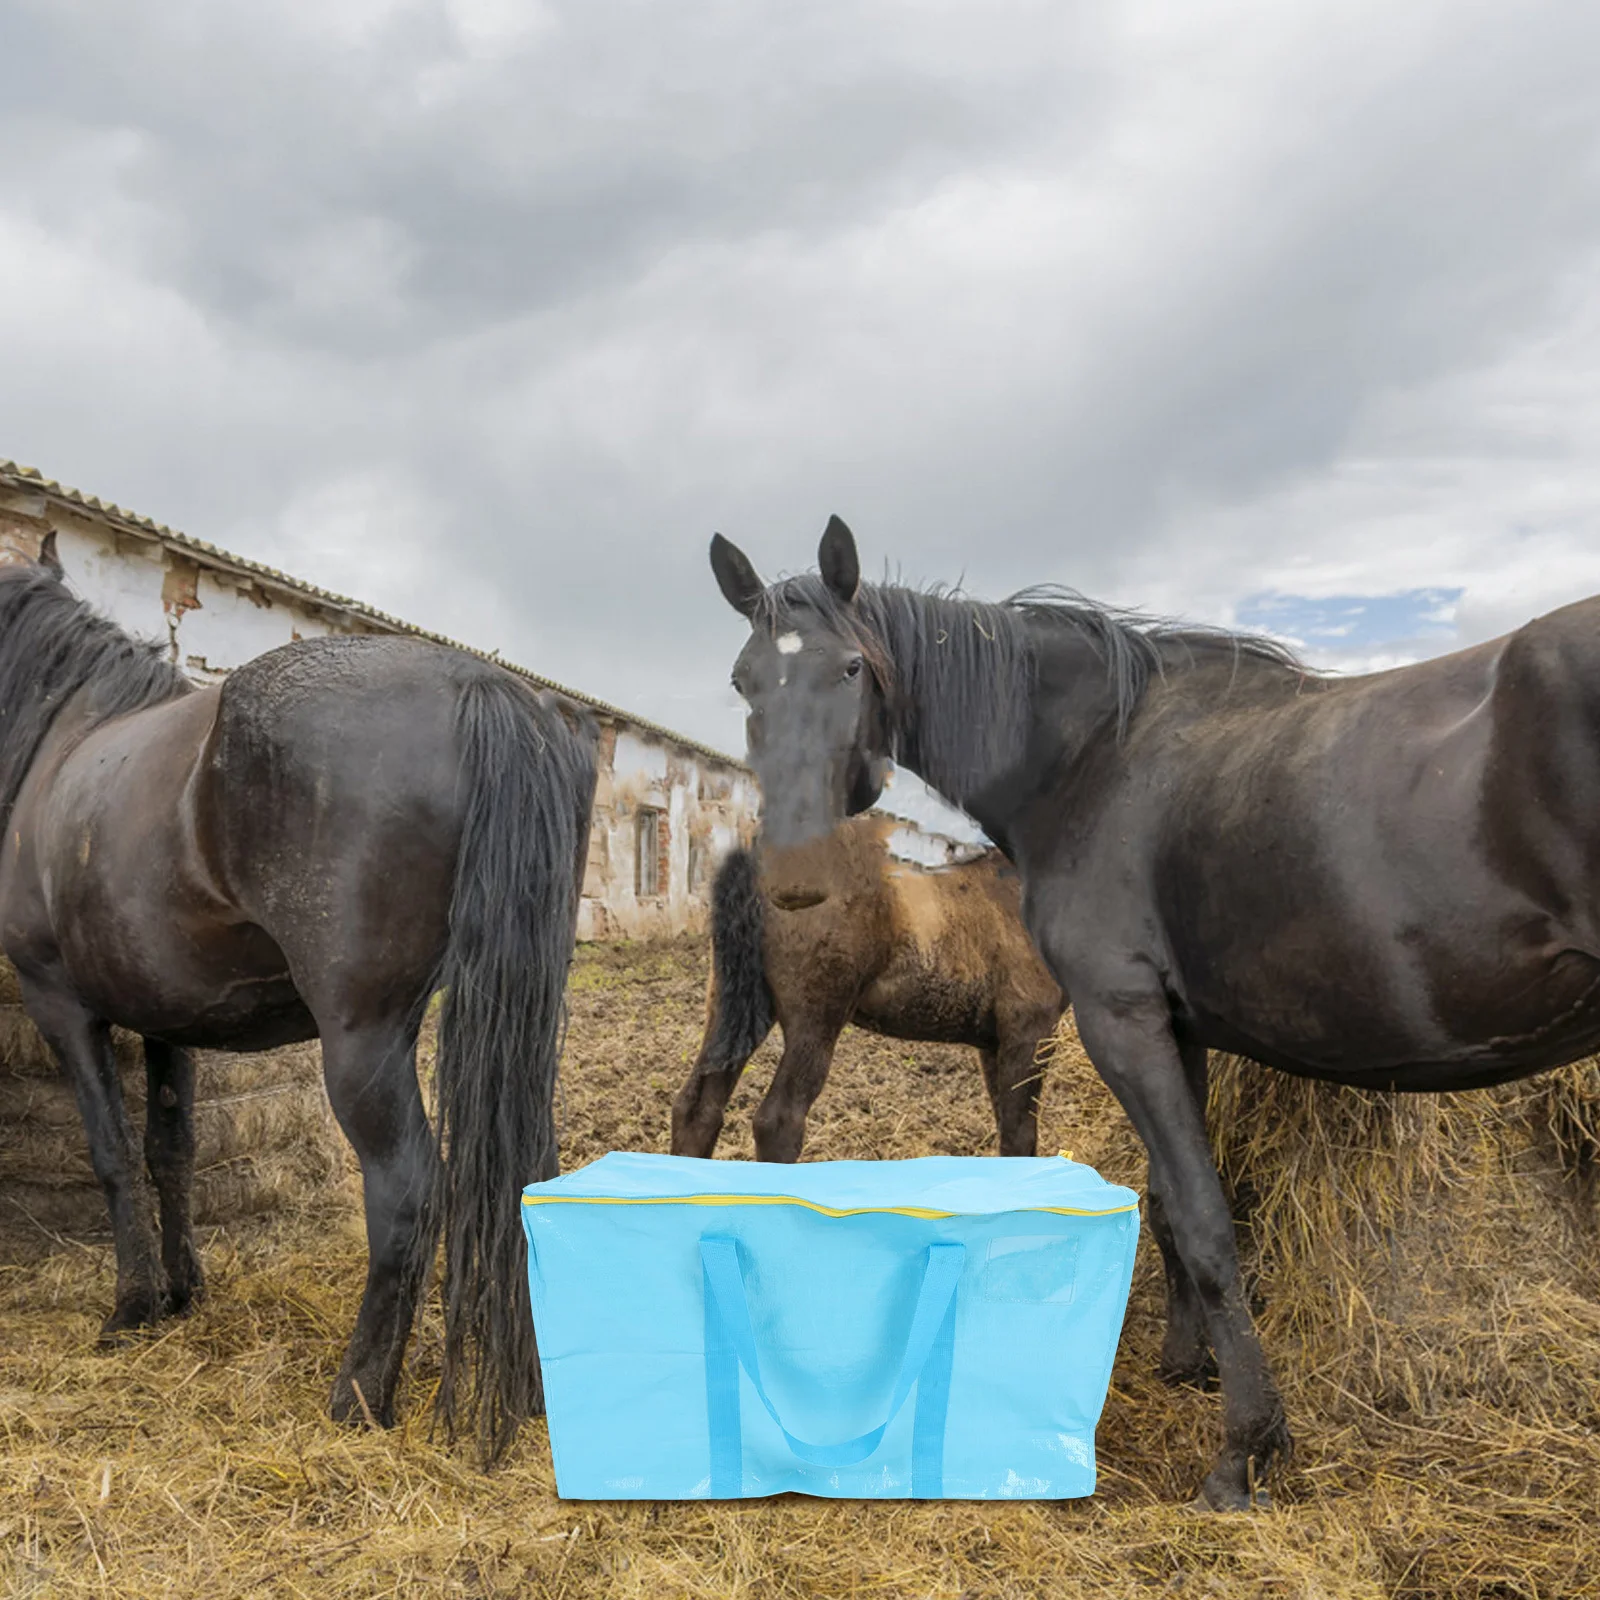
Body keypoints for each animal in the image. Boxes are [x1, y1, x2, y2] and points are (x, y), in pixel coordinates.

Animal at [0, 536, 596, 1461]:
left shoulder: (60, 1003)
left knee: (406, 1192)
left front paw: (131, 1307)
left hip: (361, 1041)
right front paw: (183, 1293)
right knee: (526, 1170)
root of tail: (482, 685)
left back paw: (357, 1396)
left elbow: (111, 1154)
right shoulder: (169, 1019)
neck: (65, 739)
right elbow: (170, 1150)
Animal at [670, 814, 1064, 1161]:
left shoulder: (994, 1043)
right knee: (778, 1121)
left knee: (697, 1109)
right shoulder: (1029, 1028)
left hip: (734, 1008)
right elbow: (1019, 1135)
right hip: (816, 1018)